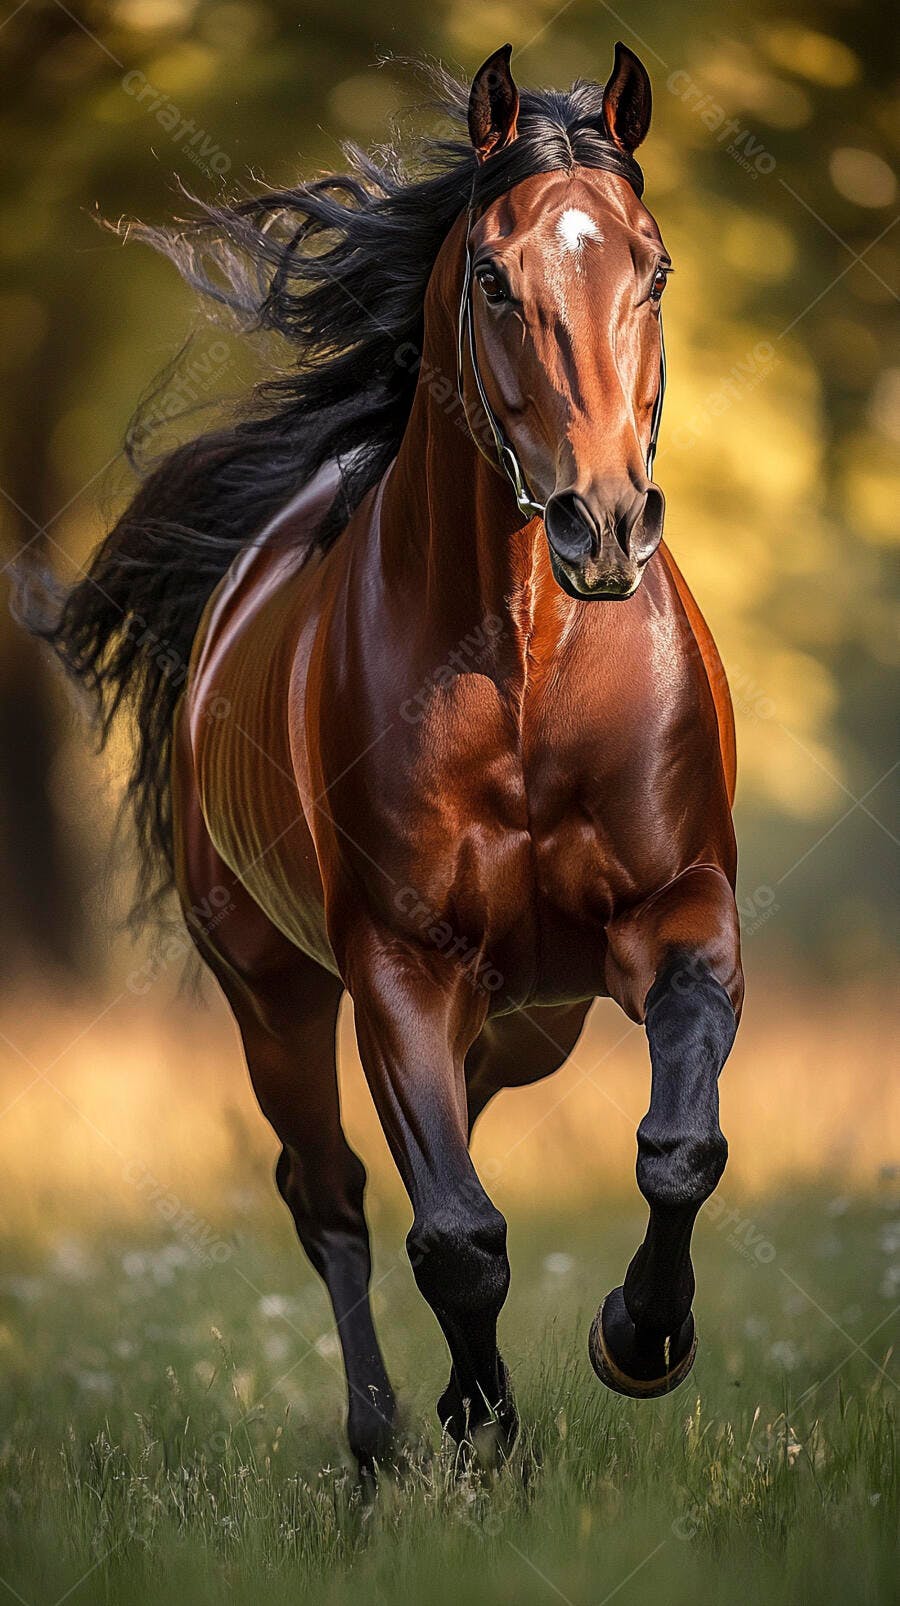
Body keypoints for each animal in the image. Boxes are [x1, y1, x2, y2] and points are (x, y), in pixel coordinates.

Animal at [19, 42, 743, 1477]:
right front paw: (486, 1434)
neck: (527, 677)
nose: (603, 524)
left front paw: (639, 1338)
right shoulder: (398, 964)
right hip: (276, 995)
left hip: (536, 1015)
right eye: (494, 277)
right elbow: (455, 1235)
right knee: (335, 1197)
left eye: (655, 266)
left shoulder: (683, 910)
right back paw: (377, 1443)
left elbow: (679, 1146)